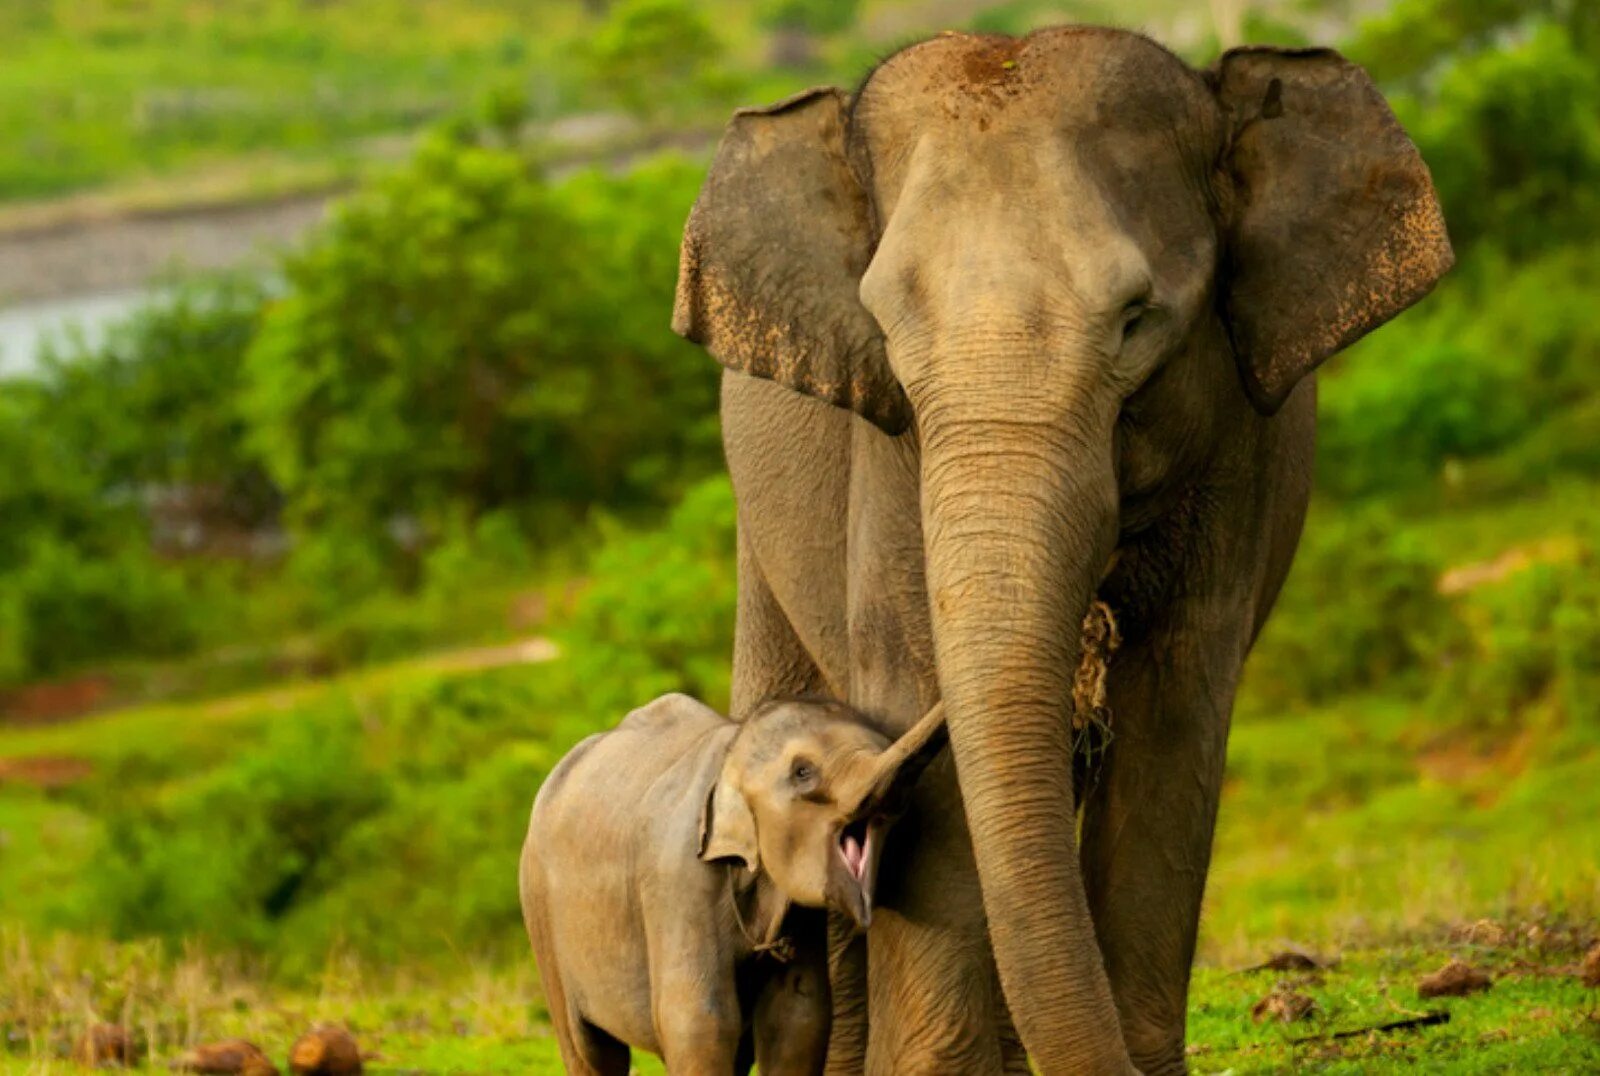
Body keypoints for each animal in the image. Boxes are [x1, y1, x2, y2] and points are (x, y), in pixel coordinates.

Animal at [524, 694, 940, 1069]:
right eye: (803, 772)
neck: (731, 749)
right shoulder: (678, 875)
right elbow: (700, 1019)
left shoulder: (798, 913)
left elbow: (796, 1015)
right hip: (540, 910)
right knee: (587, 1049)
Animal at [672, 25, 1452, 1076]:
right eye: (886, 331)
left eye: (1136, 318)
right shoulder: (888, 454)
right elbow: (915, 693)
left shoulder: (1238, 448)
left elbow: (1175, 707)